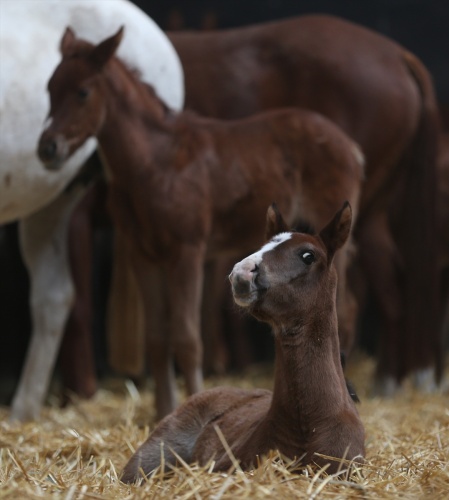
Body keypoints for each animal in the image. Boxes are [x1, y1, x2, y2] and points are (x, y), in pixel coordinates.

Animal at [36, 27, 362, 418]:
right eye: (50, 88)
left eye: (83, 91)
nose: (47, 148)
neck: (155, 163)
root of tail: (349, 145)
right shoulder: (143, 256)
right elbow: (157, 339)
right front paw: (163, 412)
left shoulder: (187, 252)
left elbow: (188, 338)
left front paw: (193, 402)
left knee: (344, 308)